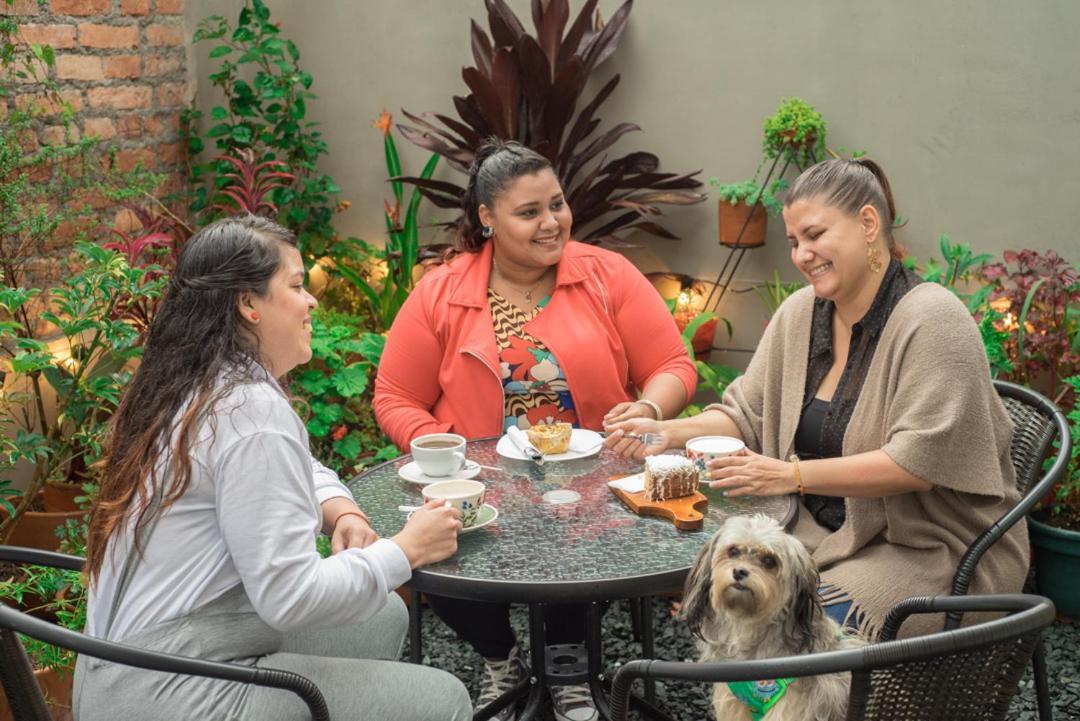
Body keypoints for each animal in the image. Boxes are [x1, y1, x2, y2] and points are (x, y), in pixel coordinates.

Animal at [678, 515, 864, 716]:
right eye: (733, 551)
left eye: (769, 560)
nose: (739, 571)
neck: (746, 625)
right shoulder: (736, 704)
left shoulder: (791, 707)